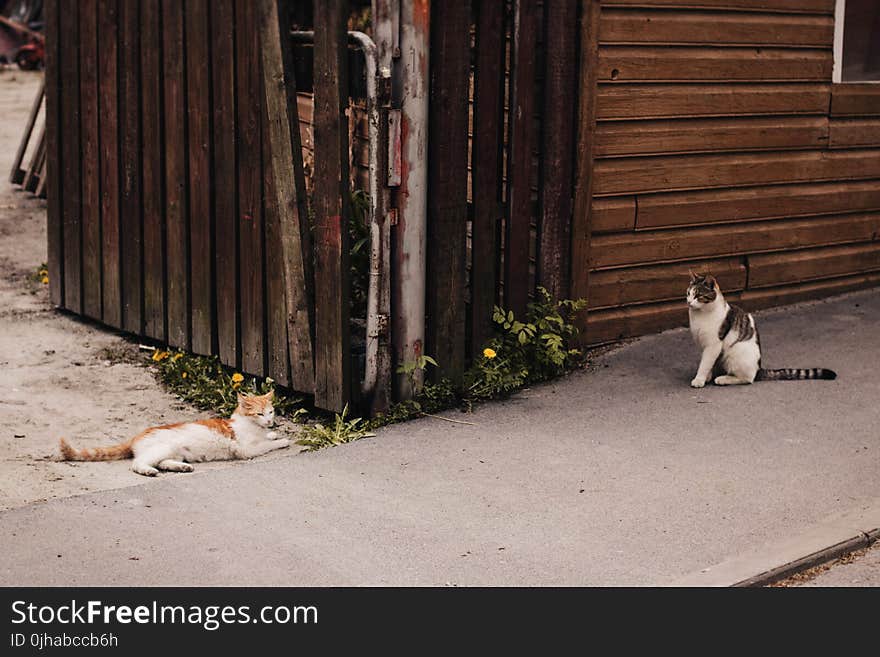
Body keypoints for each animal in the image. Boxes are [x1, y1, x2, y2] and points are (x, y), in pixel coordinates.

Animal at [57, 390, 288, 476]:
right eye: (259, 413)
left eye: (271, 411)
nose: (270, 421)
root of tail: (136, 436)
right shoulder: (246, 450)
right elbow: (266, 445)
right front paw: (283, 440)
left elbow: (267, 438)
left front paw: (273, 434)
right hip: (163, 447)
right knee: (138, 463)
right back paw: (149, 471)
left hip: (174, 452)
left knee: (162, 462)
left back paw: (181, 467)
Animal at [684, 270, 836, 386]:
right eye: (688, 293)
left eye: (698, 295)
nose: (689, 302)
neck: (699, 315)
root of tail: (759, 368)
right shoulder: (704, 345)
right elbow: (708, 363)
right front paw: (706, 377)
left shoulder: (713, 345)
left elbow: (705, 363)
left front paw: (699, 379)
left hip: (734, 354)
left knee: (748, 378)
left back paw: (724, 379)